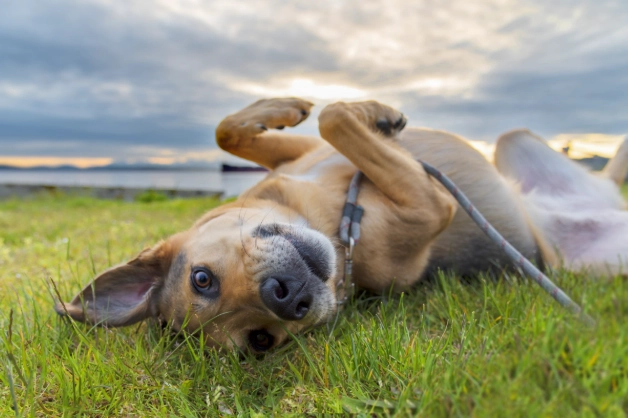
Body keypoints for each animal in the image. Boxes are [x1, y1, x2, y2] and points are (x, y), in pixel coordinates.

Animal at [55, 98, 628, 352]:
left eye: (202, 278)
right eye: (261, 341)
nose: (286, 296)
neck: (327, 219)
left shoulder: (300, 155)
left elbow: (235, 131)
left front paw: (308, 107)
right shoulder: (430, 205)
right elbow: (335, 119)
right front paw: (369, 113)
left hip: (515, 141)